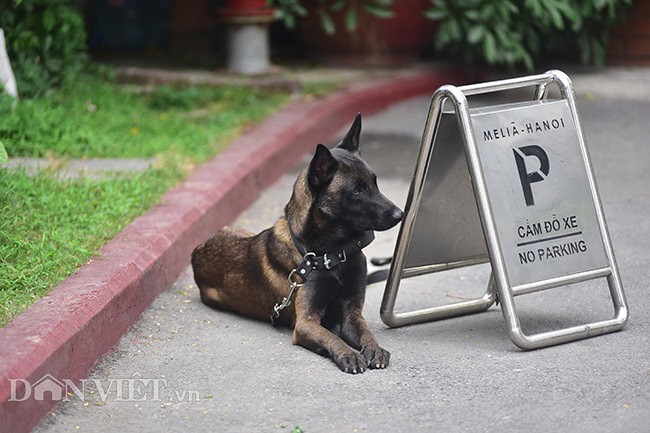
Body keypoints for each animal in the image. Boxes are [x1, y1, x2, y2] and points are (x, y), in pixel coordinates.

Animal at [192, 113, 402, 372]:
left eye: (374, 182)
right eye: (356, 191)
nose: (400, 214)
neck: (331, 255)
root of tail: (198, 248)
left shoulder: (352, 312)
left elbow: (366, 333)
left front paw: (374, 349)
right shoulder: (305, 322)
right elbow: (331, 337)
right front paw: (349, 354)